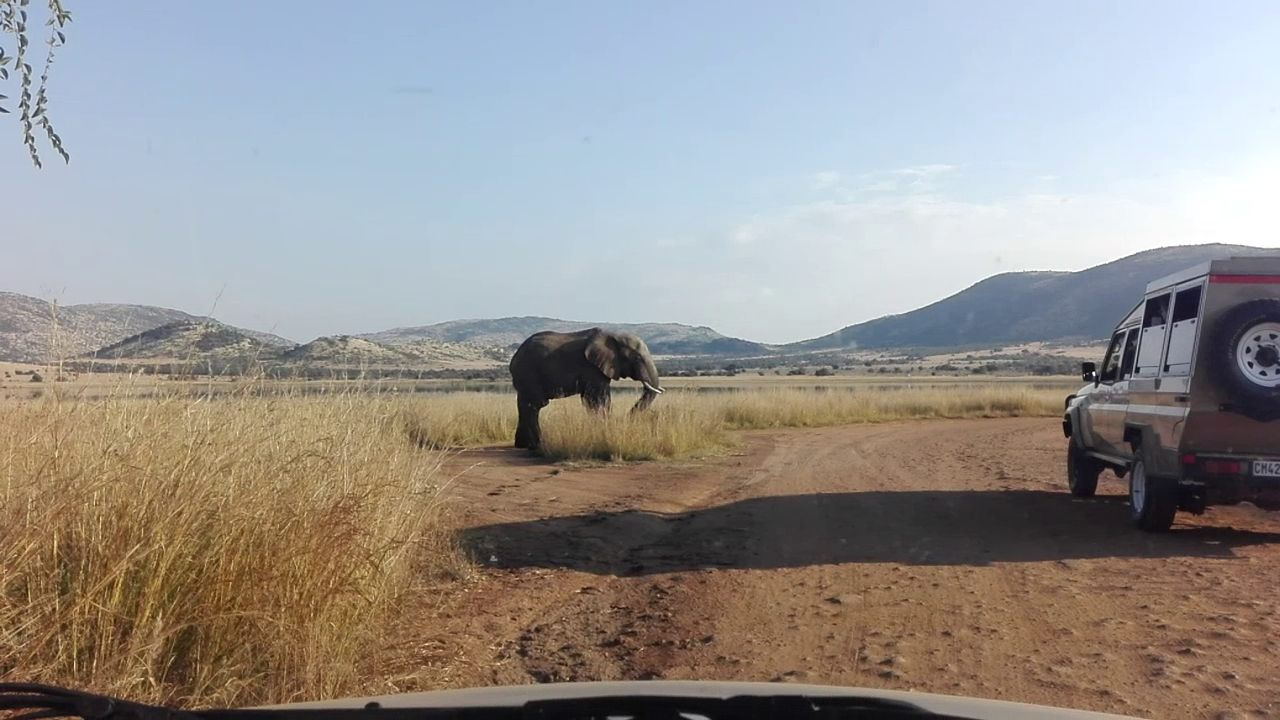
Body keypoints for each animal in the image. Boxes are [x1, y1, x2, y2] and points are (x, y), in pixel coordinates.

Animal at [506, 326, 665, 448]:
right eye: (637, 358)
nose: (626, 419)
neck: (613, 335)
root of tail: (514, 358)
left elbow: (593, 399)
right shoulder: (591, 367)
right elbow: (597, 398)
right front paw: (602, 434)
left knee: (527, 405)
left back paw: (524, 445)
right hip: (528, 372)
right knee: (534, 405)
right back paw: (535, 445)